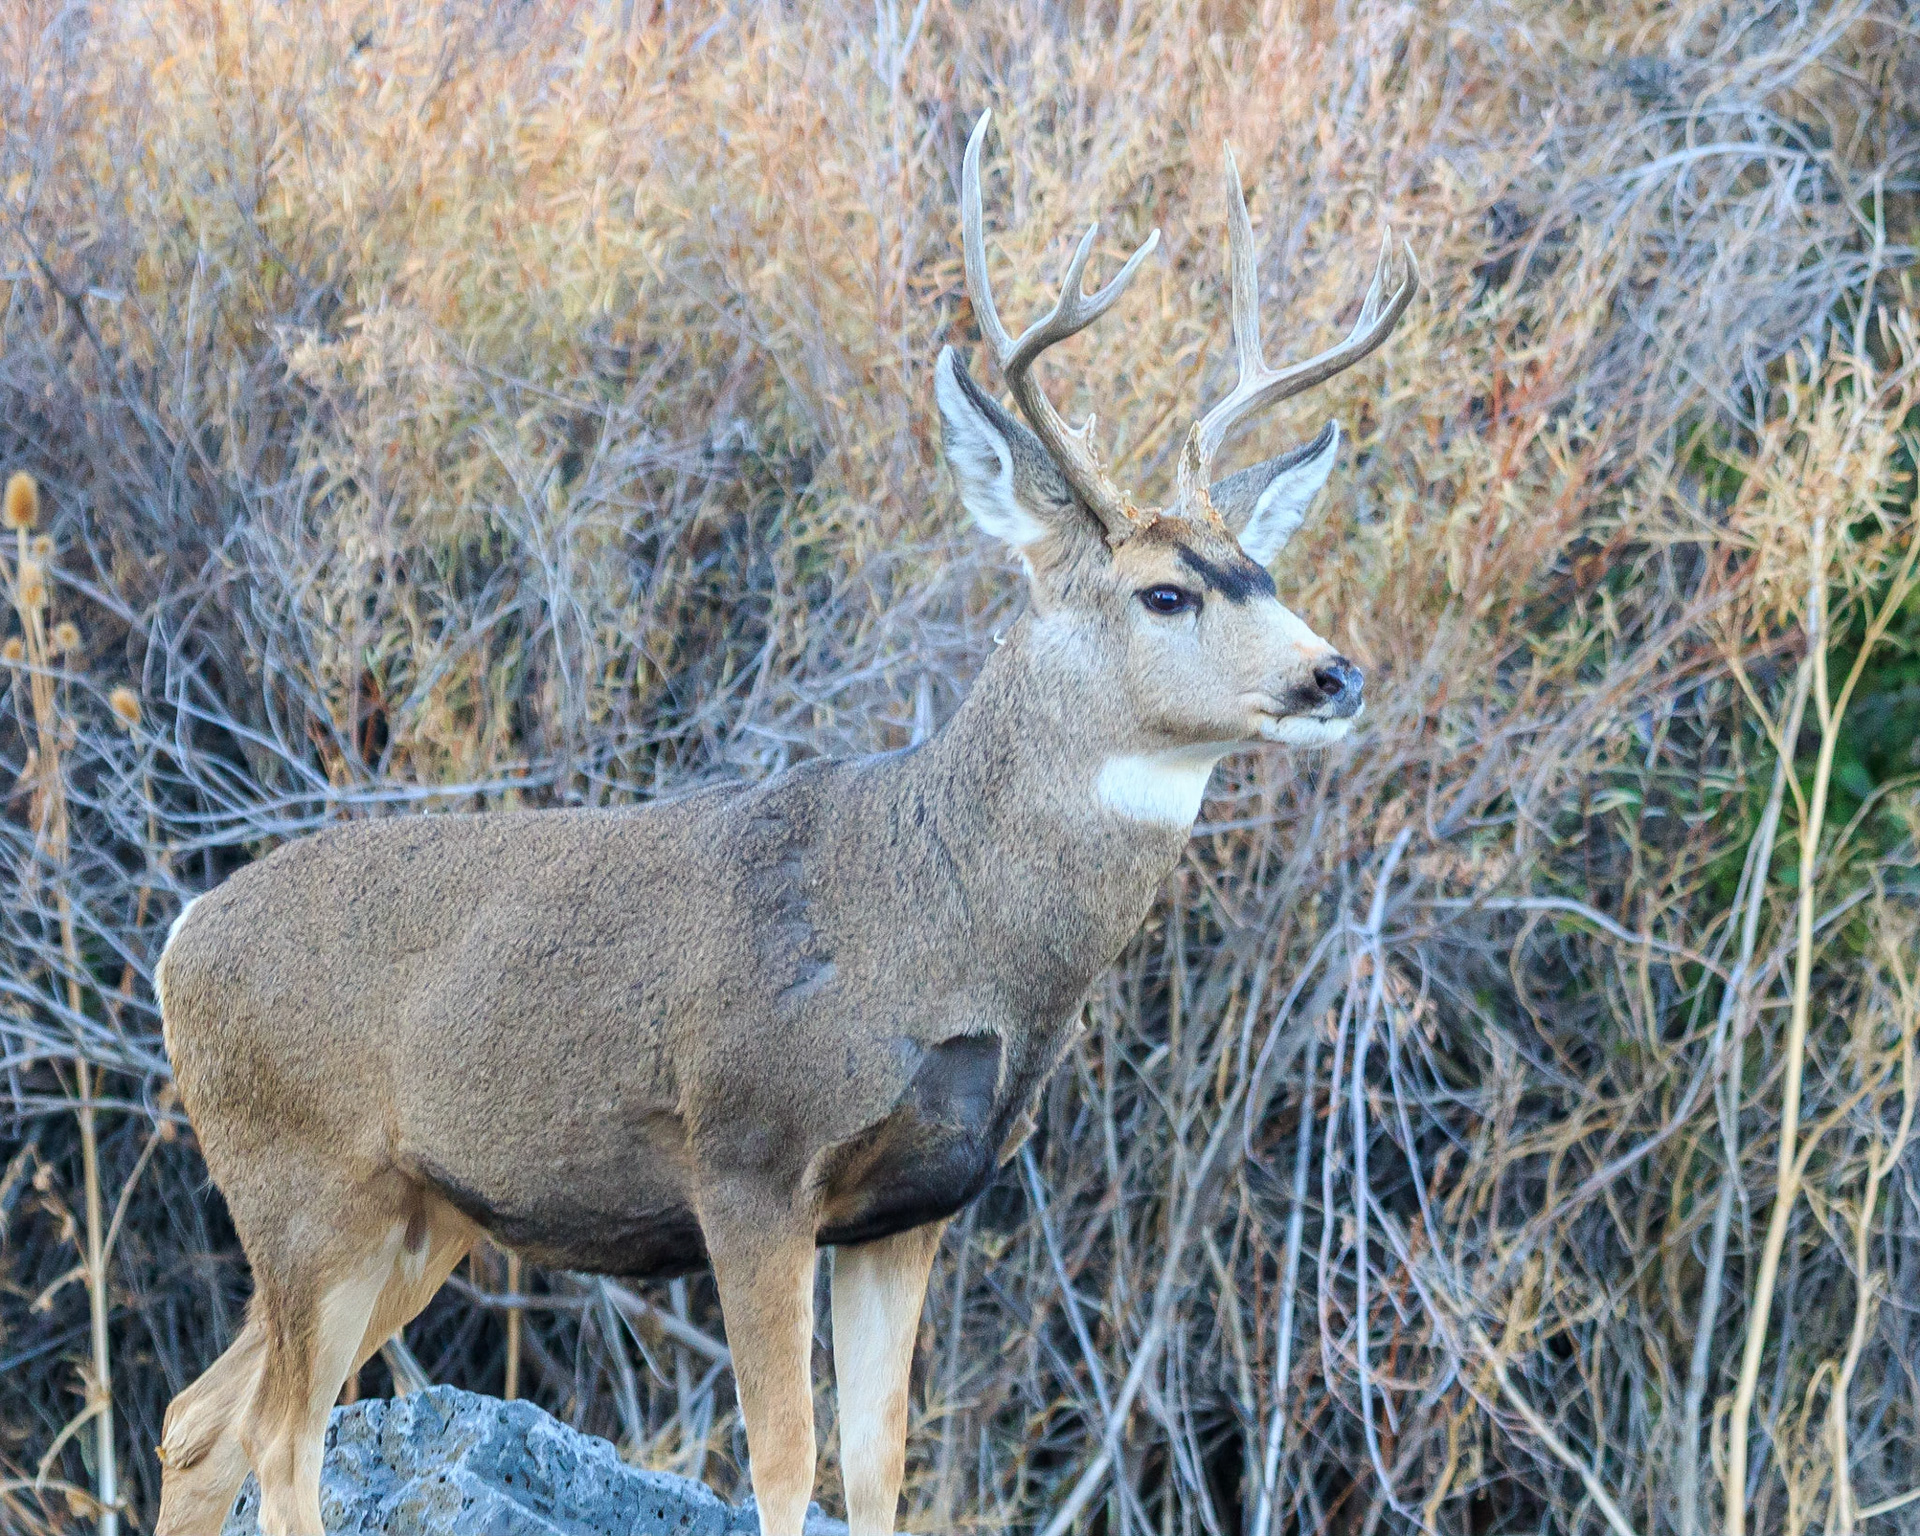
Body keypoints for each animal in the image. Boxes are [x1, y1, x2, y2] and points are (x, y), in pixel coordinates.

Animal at [152, 111, 1413, 1536]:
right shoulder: (749, 1161)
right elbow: (784, 1461)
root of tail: (181, 937)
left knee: (201, 1420)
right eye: (1164, 593)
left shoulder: (910, 1209)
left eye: (1265, 572)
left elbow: (875, 1467)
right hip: (301, 1178)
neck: (935, 922)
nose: (1333, 675)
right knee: (277, 1434)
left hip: (418, 1215)